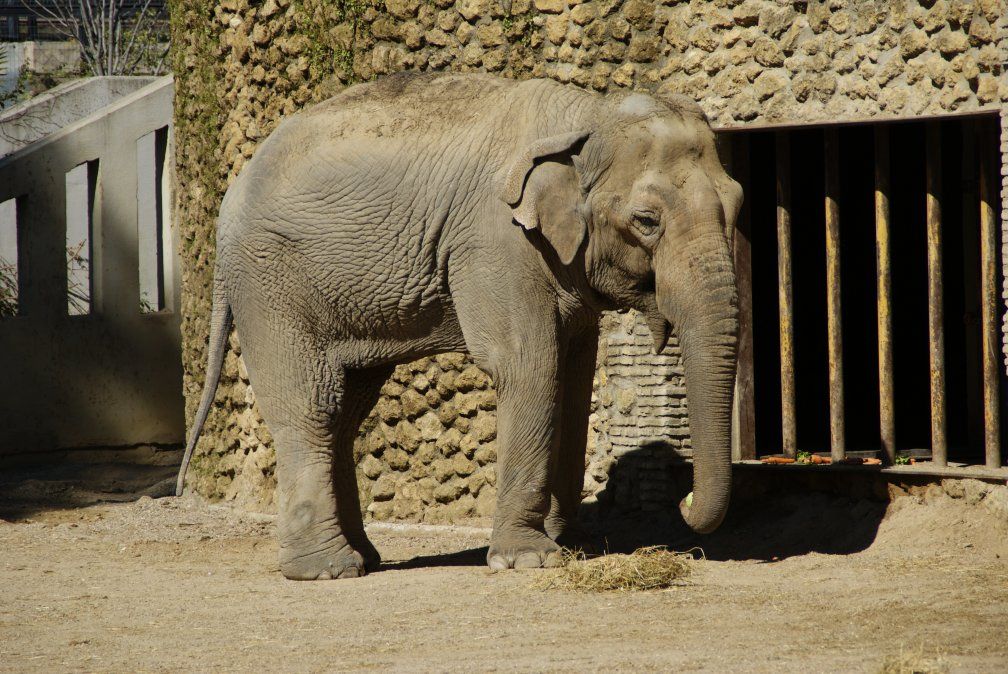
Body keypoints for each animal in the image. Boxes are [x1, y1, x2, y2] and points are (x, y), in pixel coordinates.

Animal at [175, 72, 743, 580]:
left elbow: (574, 379)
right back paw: (327, 570)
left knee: (347, 410)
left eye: (738, 204)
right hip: (273, 285)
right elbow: (529, 368)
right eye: (646, 221)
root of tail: (228, 204)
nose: (685, 497)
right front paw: (528, 560)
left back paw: (366, 559)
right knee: (311, 406)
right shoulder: (495, 243)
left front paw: (572, 545)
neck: (587, 115)